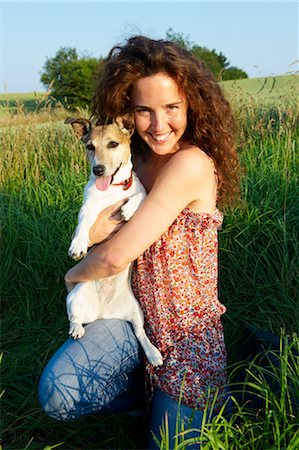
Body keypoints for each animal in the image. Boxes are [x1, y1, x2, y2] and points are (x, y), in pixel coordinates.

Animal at [64, 116, 164, 366]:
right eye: (90, 147)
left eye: (113, 144)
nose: (98, 169)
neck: (112, 189)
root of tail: (102, 312)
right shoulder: (88, 207)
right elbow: (83, 223)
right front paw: (78, 244)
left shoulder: (142, 192)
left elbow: (139, 195)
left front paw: (128, 208)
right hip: (74, 297)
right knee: (73, 318)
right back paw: (76, 328)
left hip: (137, 311)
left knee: (140, 332)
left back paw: (153, 352)